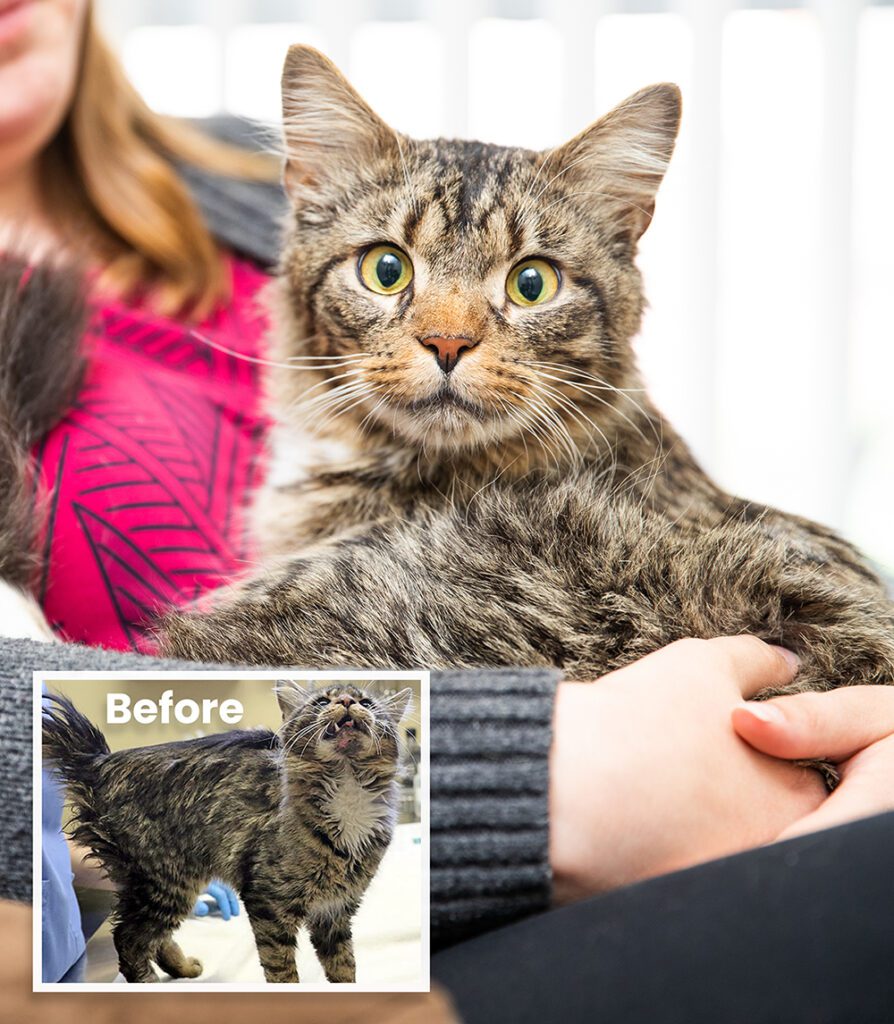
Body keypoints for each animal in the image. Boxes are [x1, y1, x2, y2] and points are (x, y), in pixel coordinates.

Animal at [41, 679, 411, 983]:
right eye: (321, 702)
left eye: (367, 703)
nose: (348, 701)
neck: (347, 788)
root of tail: (99, 762)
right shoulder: (268, 901)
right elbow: (281, 969)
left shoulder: (335, 910)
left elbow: (344, 968)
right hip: (165, 881)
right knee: (129, 940)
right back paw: (150, 983)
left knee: (151, 938)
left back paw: (183, 968)